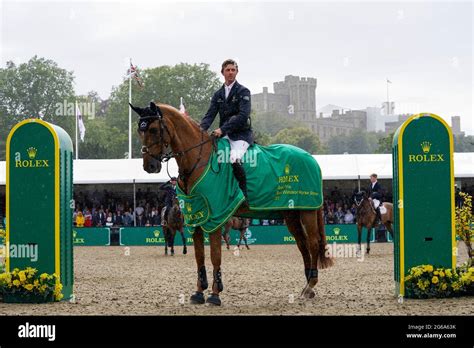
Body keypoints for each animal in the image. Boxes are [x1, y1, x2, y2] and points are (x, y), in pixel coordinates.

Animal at [131, 100, 334, 304]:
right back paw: (307, 287)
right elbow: (199, 256)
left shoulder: (215, 216)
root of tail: (310, 158)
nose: (149, 166)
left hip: (307, 211)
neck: (198, 158)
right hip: (291, 214)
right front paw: (199, 292)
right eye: (140, 130)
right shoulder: (196, 216)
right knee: (302, 244)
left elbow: (215, 255)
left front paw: (215, 294)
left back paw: (311, 285)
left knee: (313, 243)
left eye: (154, 129)